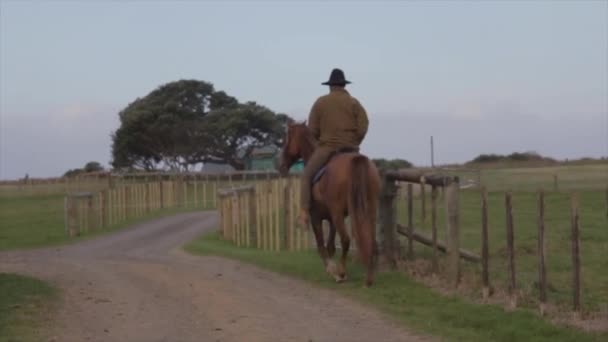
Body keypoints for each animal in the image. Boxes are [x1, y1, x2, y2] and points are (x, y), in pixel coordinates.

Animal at [280, 121, 382, 288]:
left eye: (286, 139)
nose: (281, 165)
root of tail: (357, 160)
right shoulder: (332, 218)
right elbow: (330, 246)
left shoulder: (317, 217)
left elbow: (322, 246)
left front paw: (332, 270)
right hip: (369, 210)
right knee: (370, 241)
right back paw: (368, 278)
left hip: (339, 213)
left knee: (346, 240)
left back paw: (341, 272)